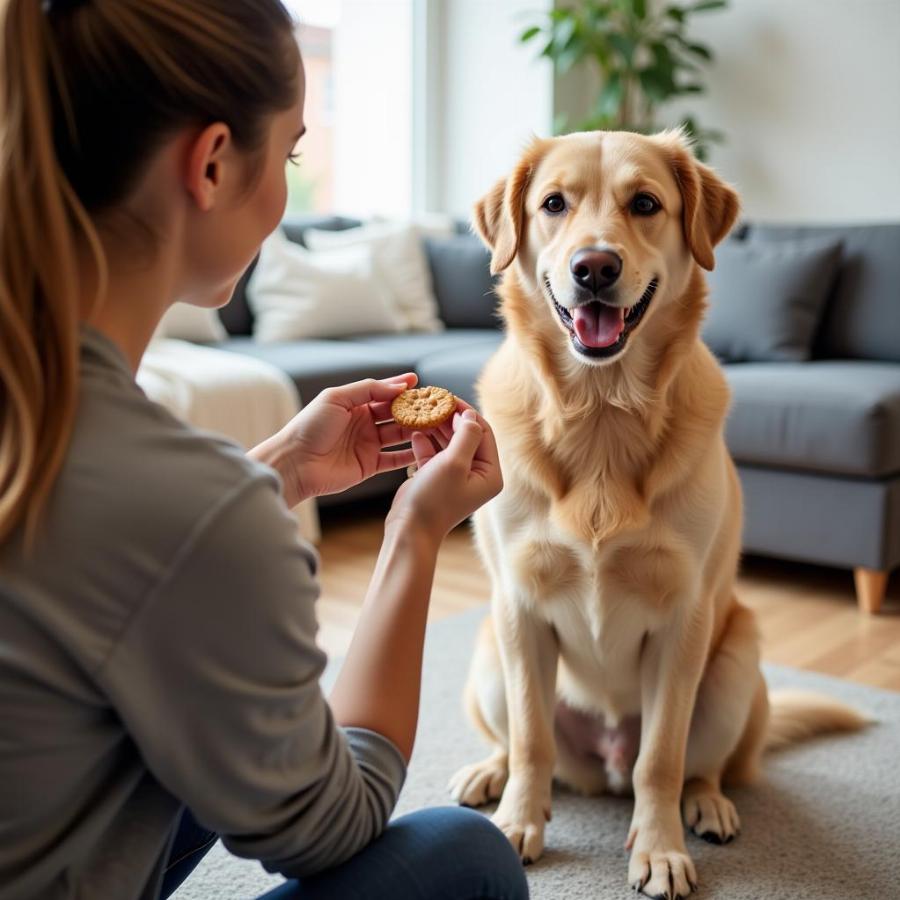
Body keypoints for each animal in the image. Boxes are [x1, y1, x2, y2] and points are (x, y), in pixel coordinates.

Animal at [450, 130, 864, 896]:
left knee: (699, 765)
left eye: (645, 204)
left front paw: (660, 848)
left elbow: (662, 758)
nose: (594, 267)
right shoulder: (518, 606)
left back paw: (707, 805)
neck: (601, 414)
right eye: (553, 204)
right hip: (492, 655)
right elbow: (530, 737)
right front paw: (520, 823)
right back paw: (490, 776)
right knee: (521, 744)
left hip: (734, 666)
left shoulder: (684, 619)